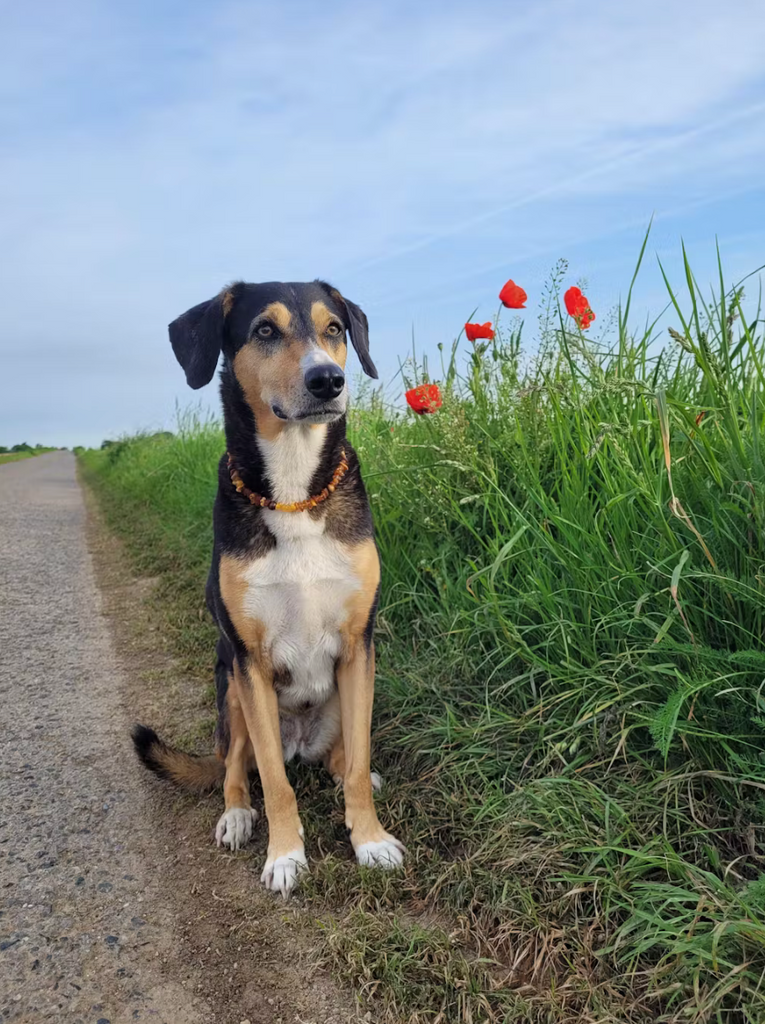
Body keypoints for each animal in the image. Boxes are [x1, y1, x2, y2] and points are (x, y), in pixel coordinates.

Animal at [132, 280, 407, 897]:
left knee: (343, 757)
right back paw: (236, 814)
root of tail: (302, 740)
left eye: (334, 329)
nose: (329, 380)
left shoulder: (359, 646)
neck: (294, 490)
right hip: (230, 689)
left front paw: (369, 839)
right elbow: (276, 785)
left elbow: (358, 763)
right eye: (264, 330)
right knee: (236, 767)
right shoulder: (249, 659)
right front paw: (284, 856)